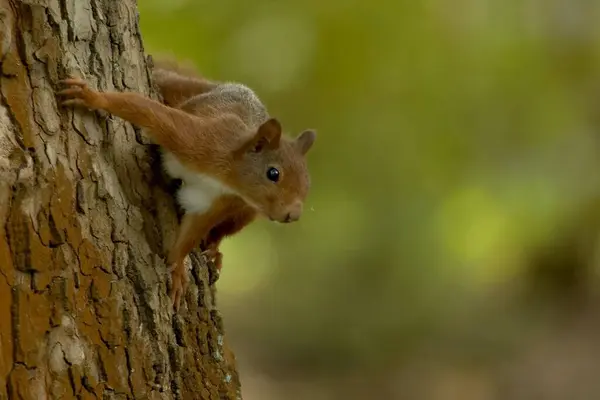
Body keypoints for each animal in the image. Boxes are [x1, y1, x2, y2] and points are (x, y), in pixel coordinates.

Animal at [58, 60, 316, 310]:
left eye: (308, 183)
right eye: (273, 173)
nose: (293, 214)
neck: (225, 177)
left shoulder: (218, 201)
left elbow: (192, 231)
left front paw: (178, 269)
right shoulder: (199, 139)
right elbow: (146, 110)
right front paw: (92, 97)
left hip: (244, 213)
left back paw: (214, 250)